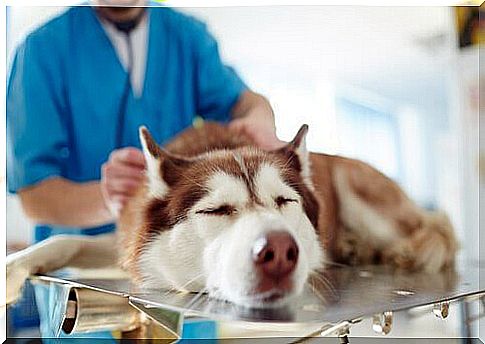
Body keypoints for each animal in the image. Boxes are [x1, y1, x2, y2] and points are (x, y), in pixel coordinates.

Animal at [5, 123, 456, 310]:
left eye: (284, 202)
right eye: (216, 210)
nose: (279, 252)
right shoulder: (128, 240)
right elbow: (64, 239)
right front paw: (13, 266)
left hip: (359, 189)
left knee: (437, 231)